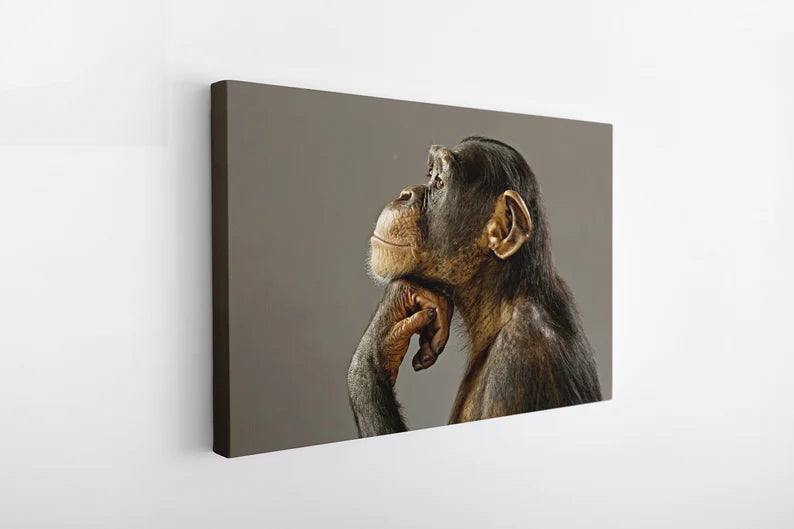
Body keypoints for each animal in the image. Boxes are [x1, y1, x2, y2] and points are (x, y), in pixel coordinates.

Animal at [347, 136, 602, 437]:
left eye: (440, 183)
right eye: (430, 174)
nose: (405, 193)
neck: (504, 301)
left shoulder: (519, 365)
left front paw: (384, 329)